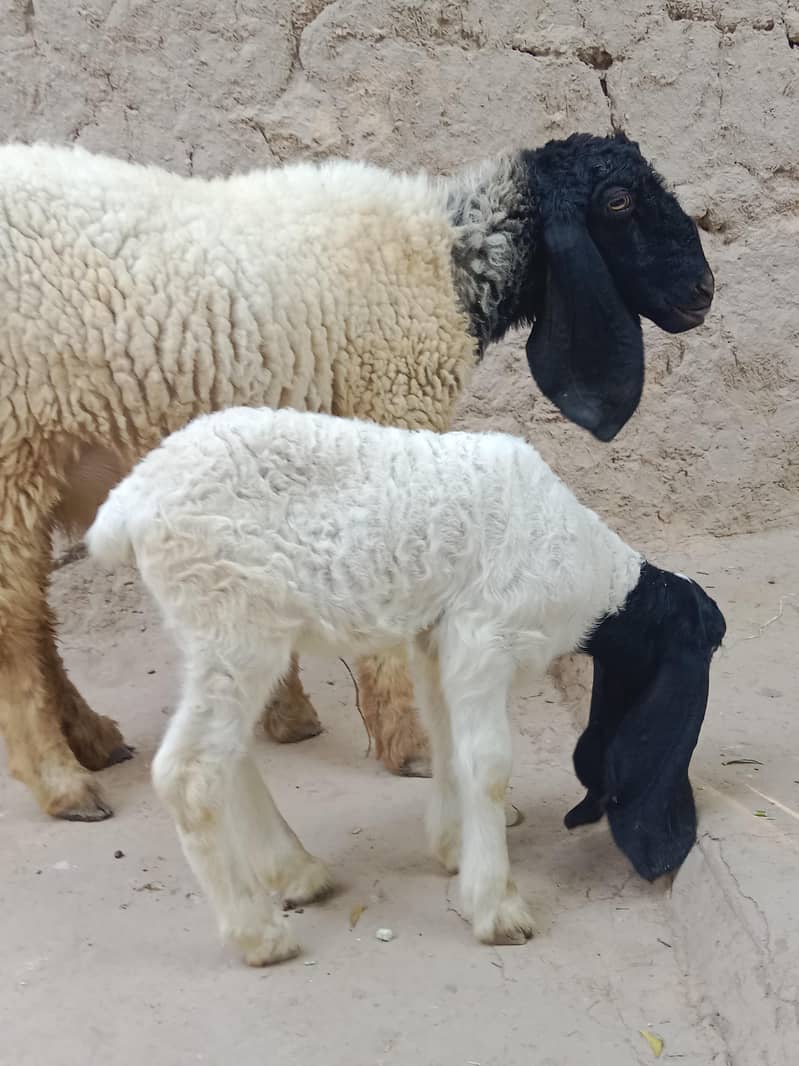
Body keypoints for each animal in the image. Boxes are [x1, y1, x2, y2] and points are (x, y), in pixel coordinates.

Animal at [0, 130, 715, 822]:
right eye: (618, 201)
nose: (703, 292)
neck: (447, 259)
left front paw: (287, 715)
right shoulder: (391, 412)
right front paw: (411, 746)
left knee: (35, 618)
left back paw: (93, 740)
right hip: (13, 454)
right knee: (14, 626)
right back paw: (65, 785)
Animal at [86, 406, 726, 965]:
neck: (591, 573)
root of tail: (127, 505)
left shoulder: (437, 638)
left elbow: (445, 739)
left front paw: (453, 847)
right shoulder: (482, 635)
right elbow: (488, 766)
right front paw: (496, 906)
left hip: (216, 636)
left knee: (228, 750)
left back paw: (296, 873)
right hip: (230, 621)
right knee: (188, 774)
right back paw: (258, 934)